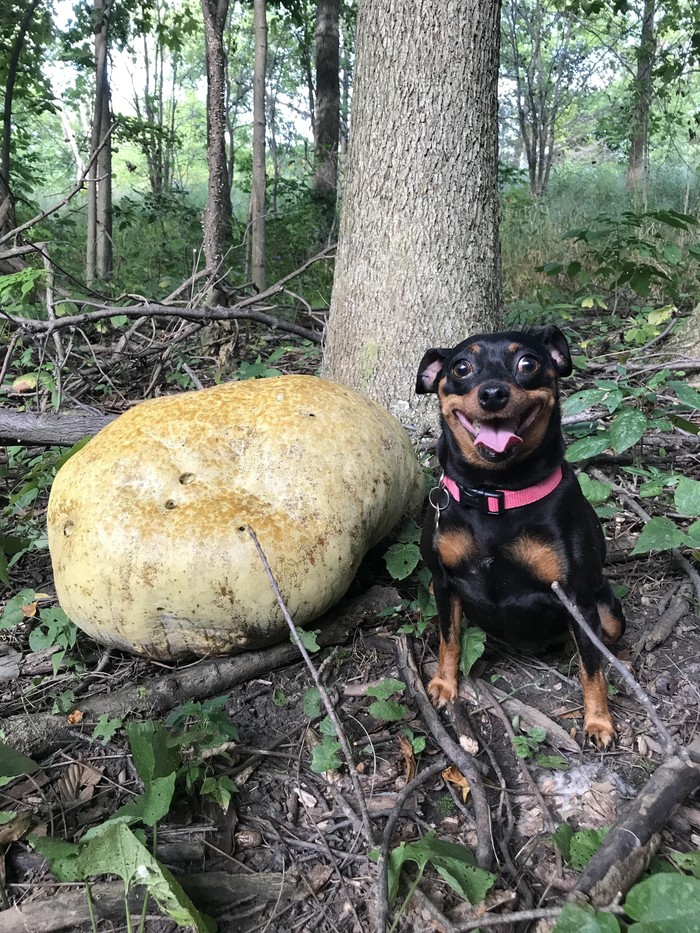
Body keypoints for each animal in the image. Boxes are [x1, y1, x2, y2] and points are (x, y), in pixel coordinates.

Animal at [416, 324, 624, 748]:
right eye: (461, 367)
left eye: (527, 363)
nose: (493, 393)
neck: (497, 492)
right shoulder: (443, 581)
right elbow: (449, 638)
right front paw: (444, 684)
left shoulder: (577, 597)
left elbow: (592, 666)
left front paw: (599, 721)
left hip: (607, 612)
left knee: (604, 640)